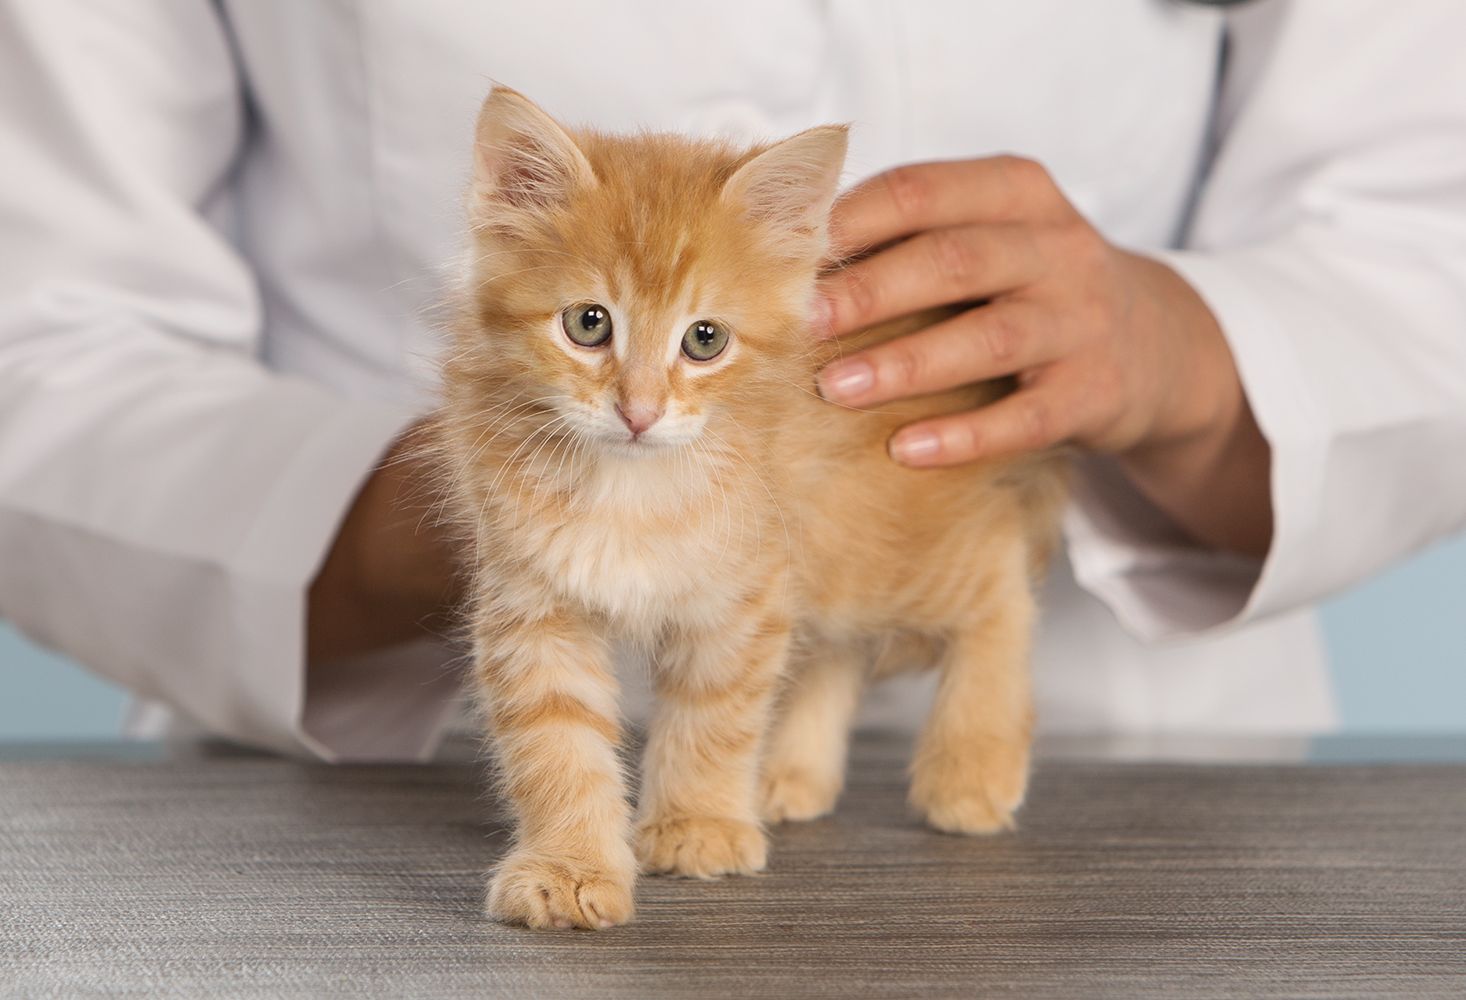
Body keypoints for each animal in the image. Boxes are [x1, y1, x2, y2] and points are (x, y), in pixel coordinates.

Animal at [433, 85, 1067, 926]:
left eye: (705, 340)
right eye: (588, 323)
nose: (638, 412)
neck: (631, 487)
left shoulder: (742, 595)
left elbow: (714, 717)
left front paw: (697, 824)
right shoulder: (535, 601)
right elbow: (555, 741)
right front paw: (569, 867)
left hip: (882, 546)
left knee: (999, 584)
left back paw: (970, 769)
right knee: (834, 651)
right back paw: (788, 776)